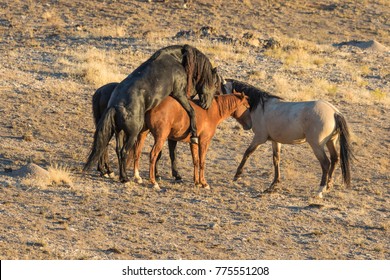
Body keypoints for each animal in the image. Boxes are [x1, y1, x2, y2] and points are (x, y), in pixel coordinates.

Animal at [83, 43, 222, 182]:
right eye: (215, 84)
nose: (206, 105)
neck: (175, 58)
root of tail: (115, 106)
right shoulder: (179, 94)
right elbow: (191, 111)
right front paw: (193, 134)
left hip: (118, 132)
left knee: (113, 149)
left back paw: (111, 172)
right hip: (132, 134)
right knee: (122, 151)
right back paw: (124, 177)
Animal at [222, 77, 354, 198]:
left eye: (221, 89)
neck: (261, 107)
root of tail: (334, 112)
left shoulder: (259, 138)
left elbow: (247, 153)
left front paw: (237, 175)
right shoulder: (275, 141)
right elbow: (276, 159)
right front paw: (274, 184)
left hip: (317, 145)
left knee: (326, 163)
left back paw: (320, 191)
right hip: (331, 142)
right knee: (335, 159)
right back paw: (328, 186)